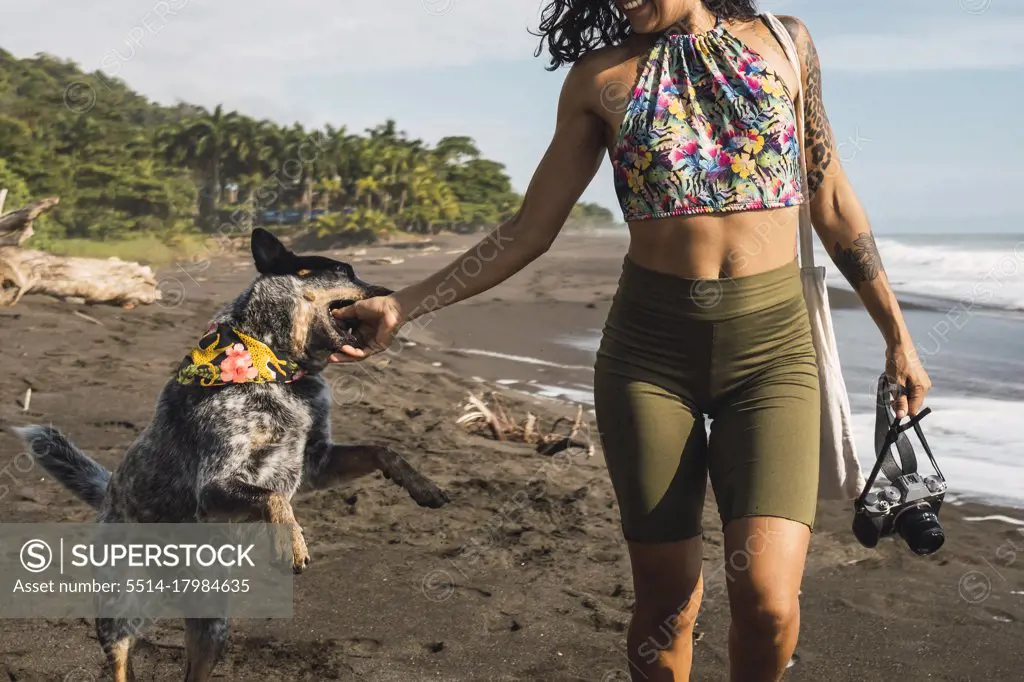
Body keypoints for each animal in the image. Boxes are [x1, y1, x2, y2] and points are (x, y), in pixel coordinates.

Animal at [9, 228, 446, 679]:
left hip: (212, 626)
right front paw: (292, 543)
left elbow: (381, 449)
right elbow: (274, 497)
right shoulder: (215, 483)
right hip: (121, 608)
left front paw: (422, 485)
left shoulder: (317, 463)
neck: (279, 370)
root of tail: (109, 491)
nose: (393, 297)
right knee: (120, 656)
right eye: (344, 270)